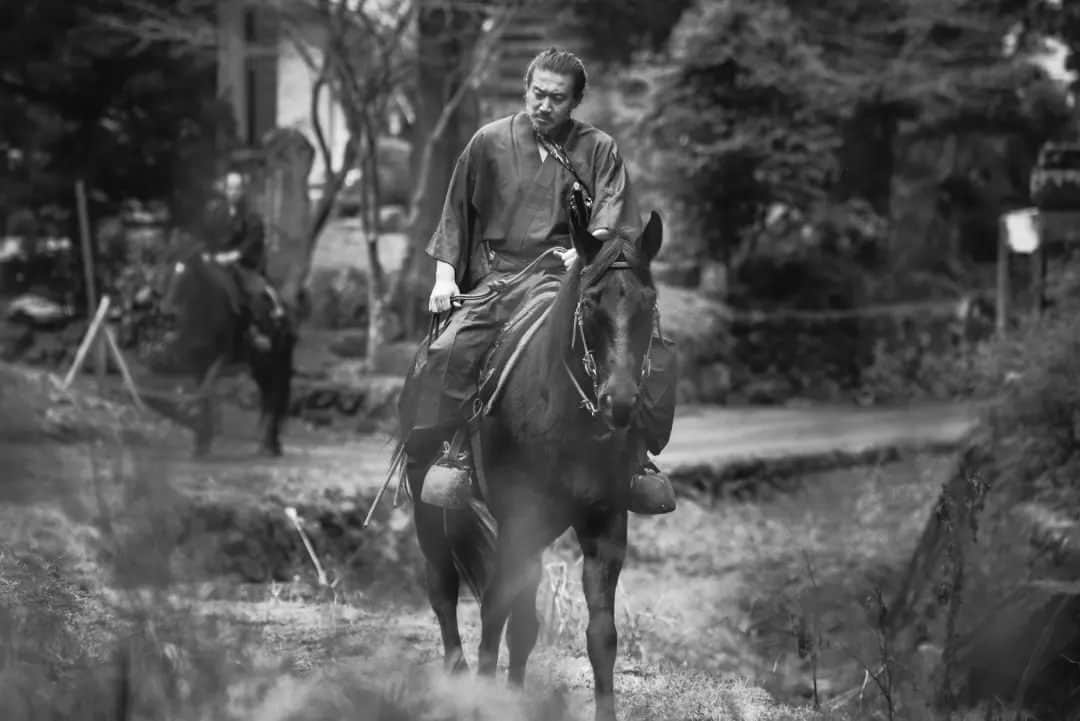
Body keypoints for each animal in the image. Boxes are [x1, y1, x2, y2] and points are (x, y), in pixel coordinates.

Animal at [147, 237, 298, 455]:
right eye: (165, 271)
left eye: (185, 274)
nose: (166, 311)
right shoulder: (197, 364)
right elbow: (203, 393)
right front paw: (202, 442)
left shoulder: (220, 359)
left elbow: (205, 392)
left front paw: (203, 438)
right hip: (260, 367)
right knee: (268, 395)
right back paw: (268, 443)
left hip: (276, 363)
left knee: (275, 395)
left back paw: (268, 445)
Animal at [393, 209, 665, 721]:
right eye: (591, 303)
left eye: (649, 301)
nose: (619, 401)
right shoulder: (517, 516)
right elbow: (495, 610)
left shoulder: (605, 521)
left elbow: (600, 635)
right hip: (427, 497)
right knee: (443, 586)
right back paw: (457, 672)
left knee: (522, 616)